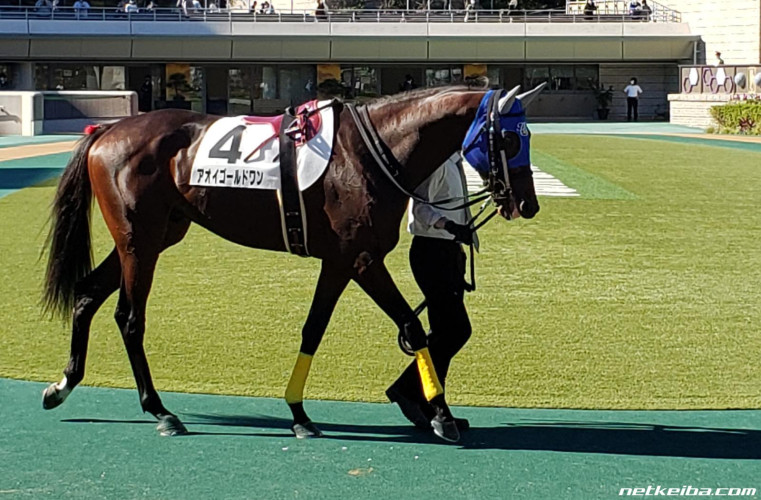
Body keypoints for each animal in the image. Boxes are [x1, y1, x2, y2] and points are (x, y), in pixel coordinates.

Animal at [40, 83, 548, 446]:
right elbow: (413, 326)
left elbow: (313, 330)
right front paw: (441, 414)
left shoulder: (340, 261)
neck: (370, 152)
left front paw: (299, 413)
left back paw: (63, 385)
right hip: (138, 243)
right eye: (508, 138)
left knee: (86, 294)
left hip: (157, 235)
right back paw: (160, 410)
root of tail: (107, 131)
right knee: (129, 318)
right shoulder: (363, 260)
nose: (528, 204)